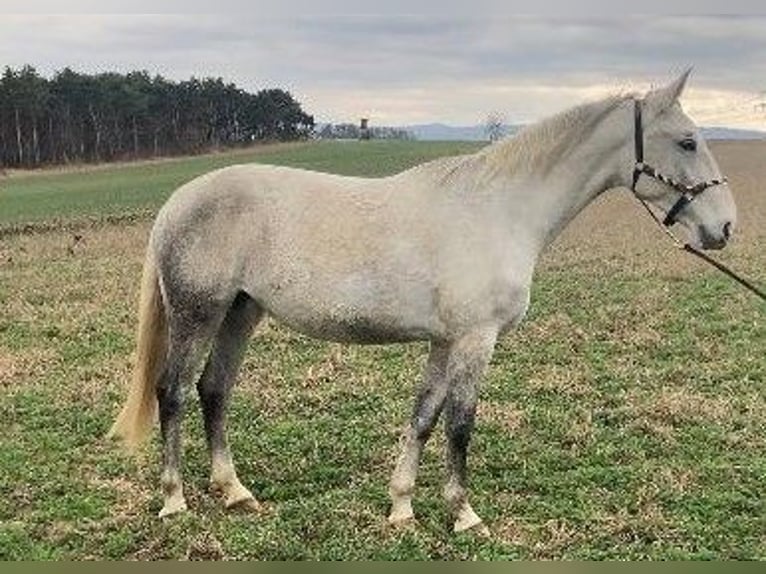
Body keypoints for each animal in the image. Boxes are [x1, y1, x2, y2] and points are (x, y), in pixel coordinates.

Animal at [109, 72, 736, 536]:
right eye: (687, 141)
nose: (725, 228)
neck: (499, 209)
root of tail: (178, 200)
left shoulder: (444, 340)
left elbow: (424, 418)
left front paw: (402, 507)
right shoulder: (475, 339)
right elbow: (460, 423)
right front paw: (464, 515)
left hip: (240, 312)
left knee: (214, 390)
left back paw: (234, 491)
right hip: (198, 312)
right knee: (172, 392)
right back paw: (174, 499)